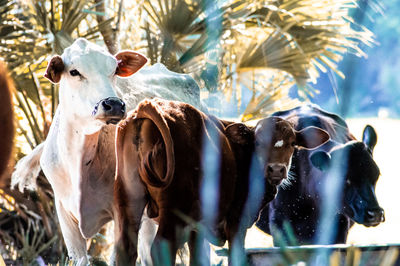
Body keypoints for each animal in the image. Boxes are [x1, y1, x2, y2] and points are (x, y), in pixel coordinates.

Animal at [113, 98, 328, 264]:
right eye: (259, 142)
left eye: (292, 143)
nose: (276, 169)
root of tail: (153, 104)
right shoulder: (236, 220)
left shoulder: (197, 227)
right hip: (174, 208)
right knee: (161, 247)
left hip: (129, 201)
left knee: (126, 248)